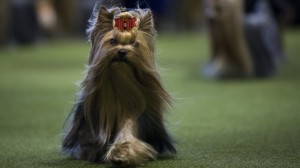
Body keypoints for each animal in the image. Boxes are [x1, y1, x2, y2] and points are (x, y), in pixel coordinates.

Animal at [62, 4, 177, 166]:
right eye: (113, 41)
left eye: (135, 44)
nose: (122, 51)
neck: (119, 82)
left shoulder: (132, 112)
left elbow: (127, 130)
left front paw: (121, 154)